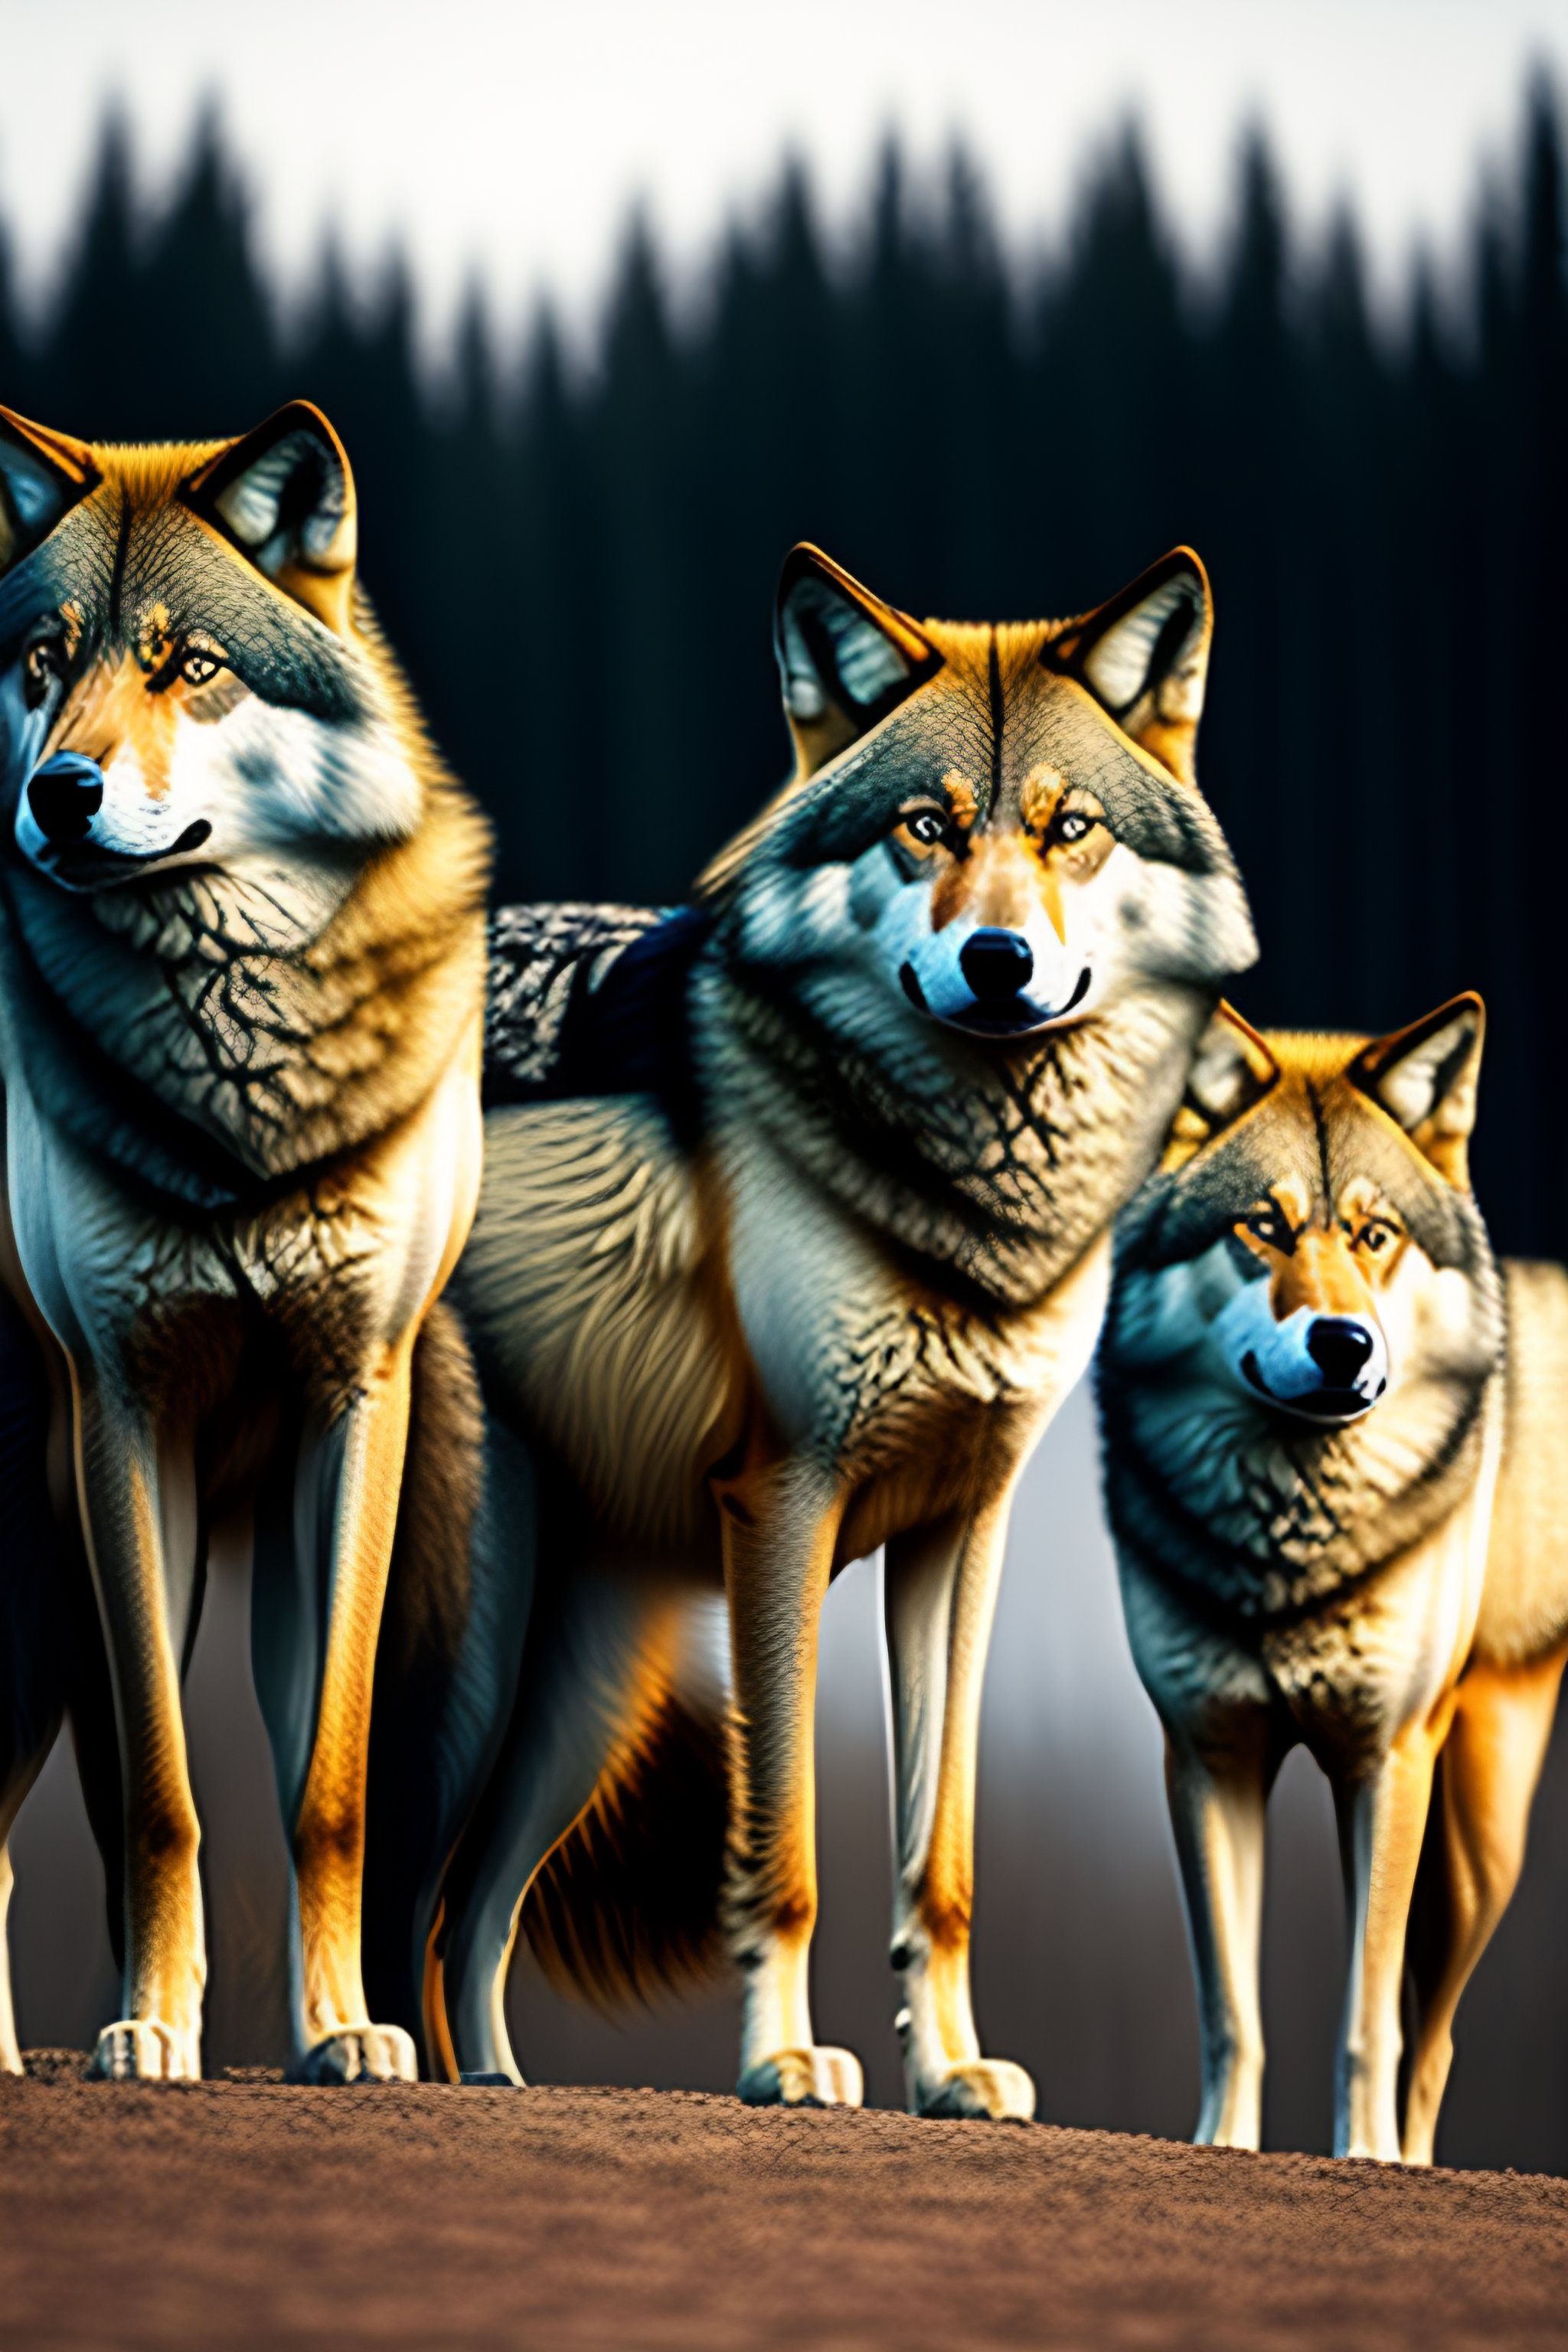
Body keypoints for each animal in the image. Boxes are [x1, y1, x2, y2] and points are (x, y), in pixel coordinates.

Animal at [0, 402, 489, 2081]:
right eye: (44, 660)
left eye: (189, 663)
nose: (59, 792)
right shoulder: (120, 1414)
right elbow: (163, 1795)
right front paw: (154, 2027)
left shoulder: (354, 1407)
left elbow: (326, 1792)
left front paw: (340, 2033)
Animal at [363, 540, 1257, 2116]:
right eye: (925, 825)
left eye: (1069, 828)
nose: (998, 960)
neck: (966, 1211)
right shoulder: (785, 1504)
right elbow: (780, 1849)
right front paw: (783, 2061)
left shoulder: (963, 1538)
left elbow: (940, 1863)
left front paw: (952, 2075)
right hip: (461, 1658)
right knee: (367, 1870)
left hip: (577, 1696)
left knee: (466, 1913)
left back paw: (497, 2088)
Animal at [1096, 997, 1568, 2162]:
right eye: (1261, 1227)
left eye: (1372, 1234)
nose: (1343, 1343)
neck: (1292, 1549)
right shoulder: (1207, 1756)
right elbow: (1230, 2005)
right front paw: (1223, 2148)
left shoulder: (1384, 1760)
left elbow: (1363, 2018)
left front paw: (1364, 2163)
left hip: (1474, 1849)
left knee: (1428, 2038)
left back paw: (1408, 2157)